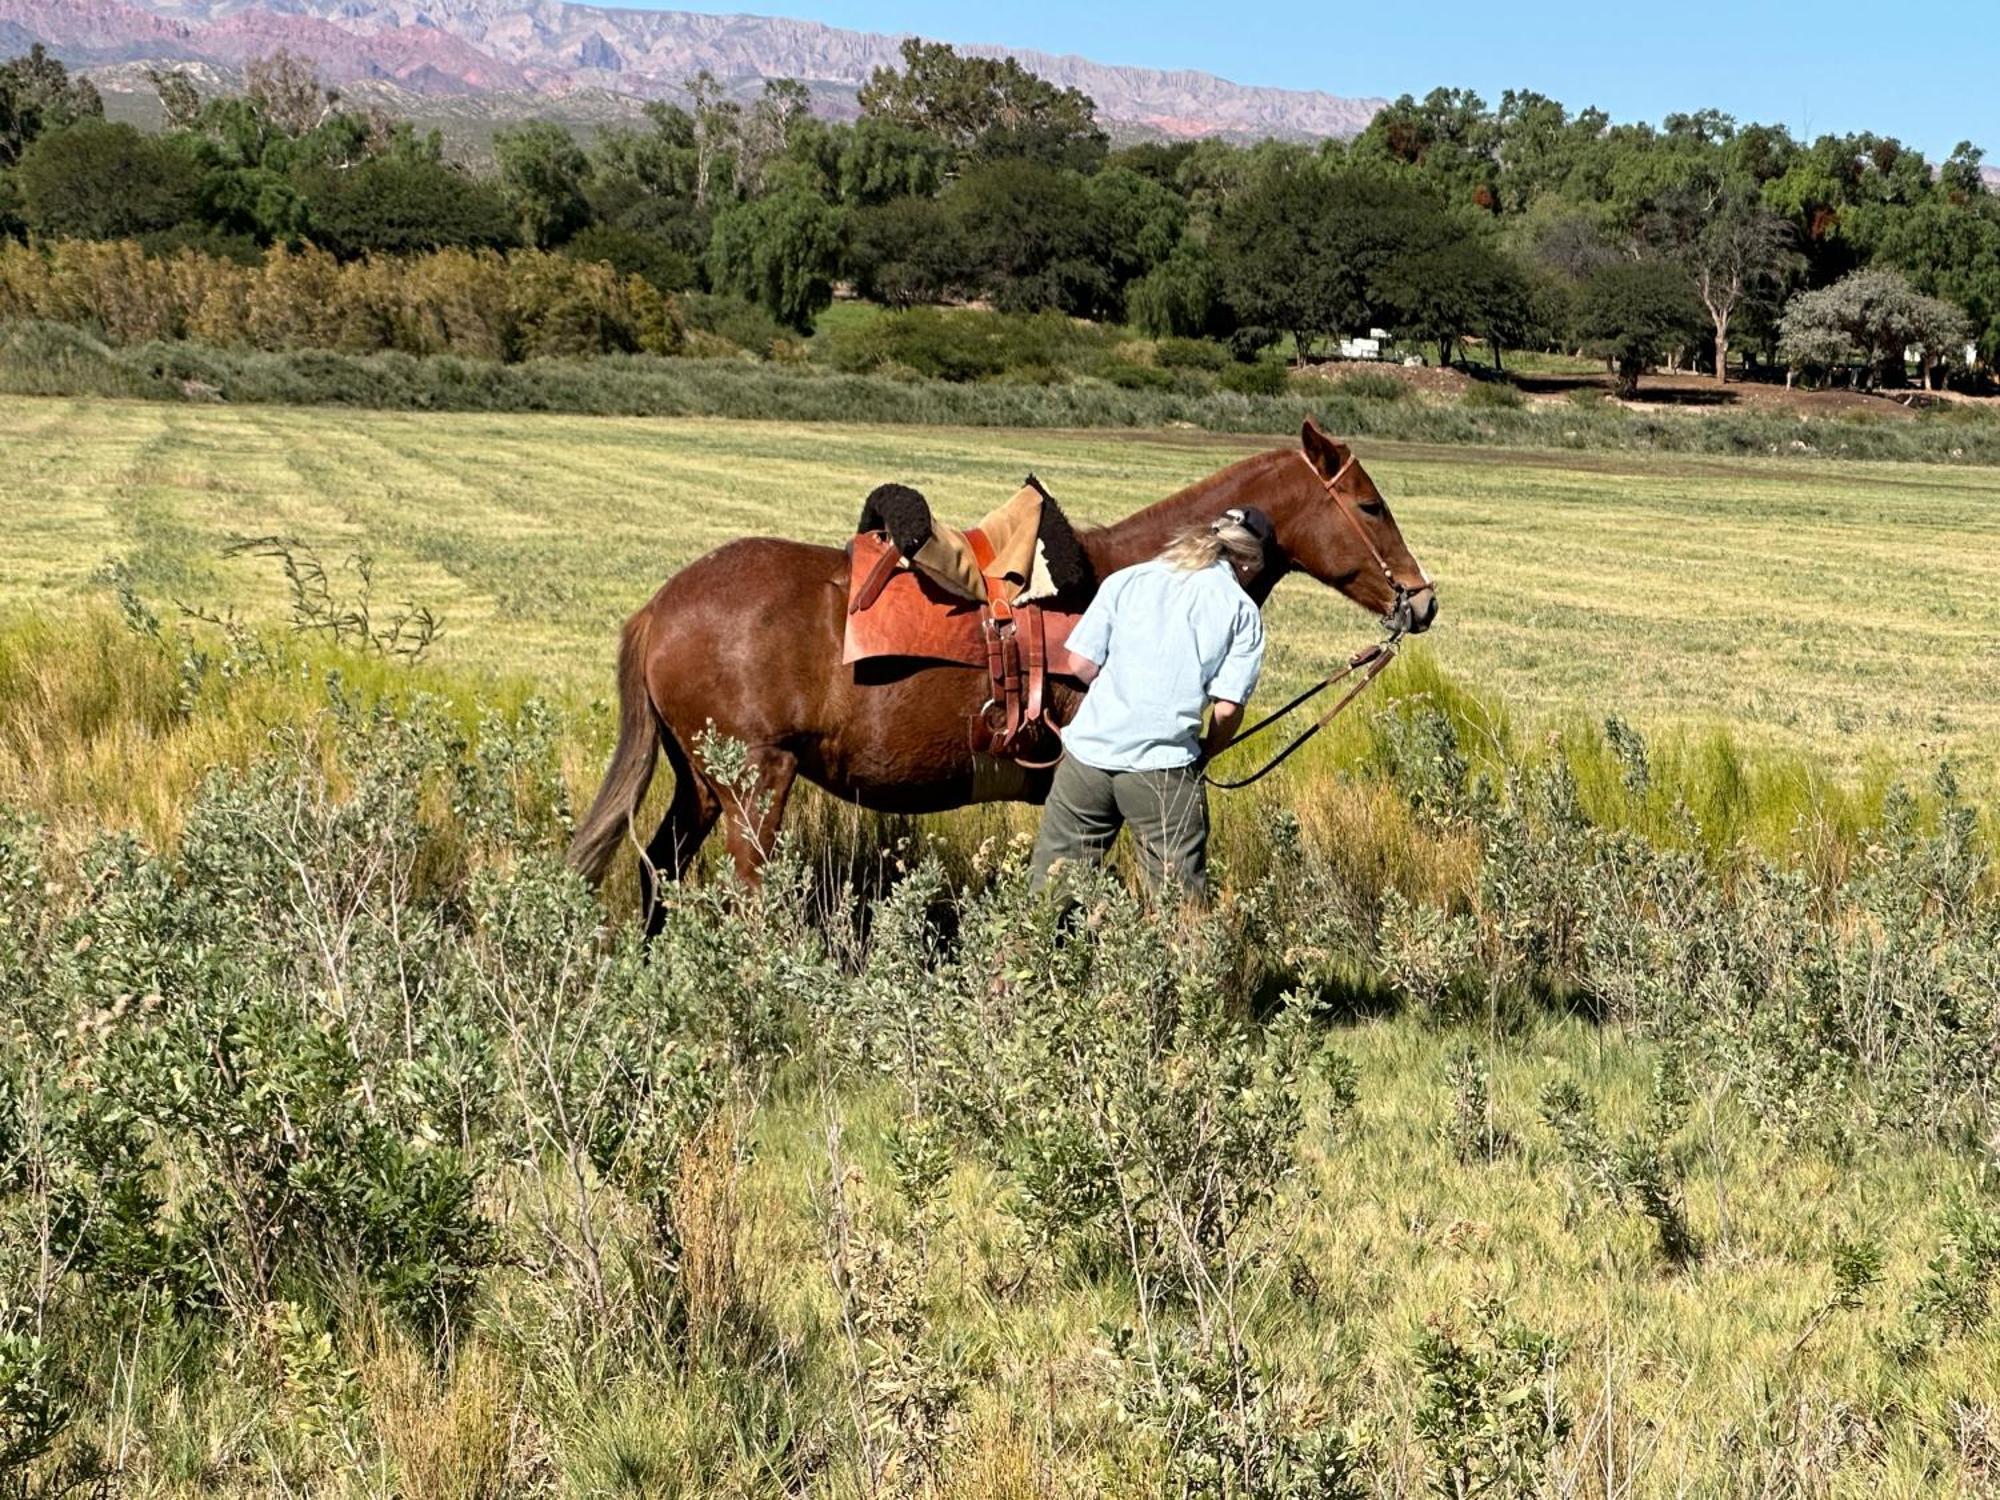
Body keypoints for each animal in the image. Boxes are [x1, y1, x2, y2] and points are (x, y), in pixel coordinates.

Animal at [568, 418, 1440, 924]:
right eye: (1368, 505)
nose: (1423, 600)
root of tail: (660, 608)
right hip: (755, 782)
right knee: (748, 894)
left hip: (700, 781)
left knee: (659, 871)